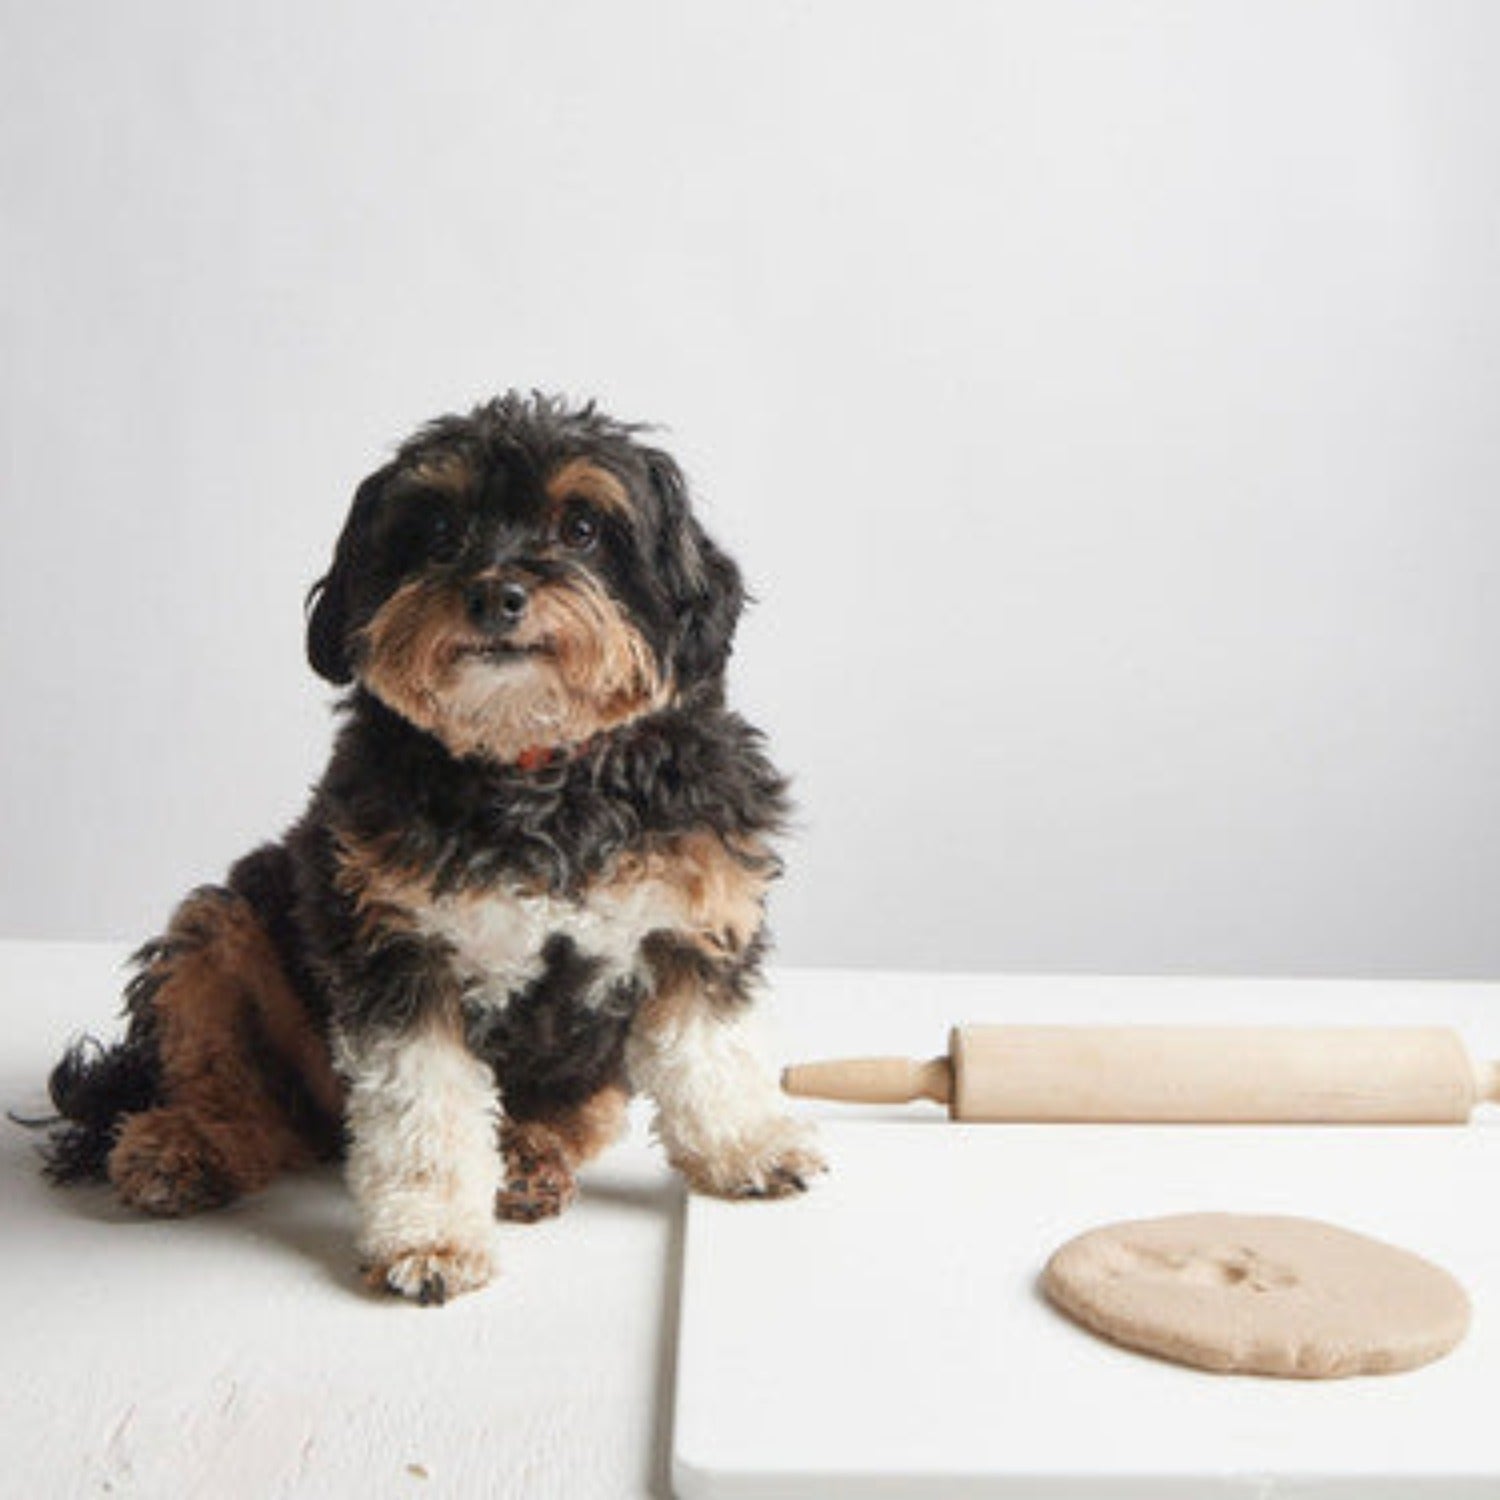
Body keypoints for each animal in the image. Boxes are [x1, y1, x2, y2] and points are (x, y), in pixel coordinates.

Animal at [43, 396, 822, 1302]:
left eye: (583, 527)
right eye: (440, 528)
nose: (497, 594)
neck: (532, 770)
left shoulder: (691, 921)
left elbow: (709, 1053)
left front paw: (747, 1146)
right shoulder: (398, 956)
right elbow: (423, 1114)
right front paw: (431, 1237)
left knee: (573, 1112)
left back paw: (529, 1158)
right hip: (220, 929)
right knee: (246, 1098)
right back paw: (185, 1146)